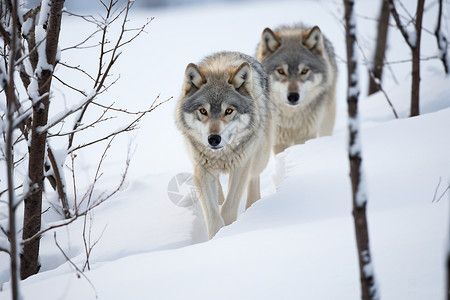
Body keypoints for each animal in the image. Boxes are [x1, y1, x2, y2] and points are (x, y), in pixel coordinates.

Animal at [174, 51, 272, 239]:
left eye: (228, 111)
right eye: (203, 111)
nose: (213, 139)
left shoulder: (241, 166)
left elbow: (228, 208)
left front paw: (227, 233)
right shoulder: (202, 170)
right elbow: (213, 214)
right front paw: (216, 236)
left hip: (259, 156)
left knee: (254, 177)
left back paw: (252, 205)